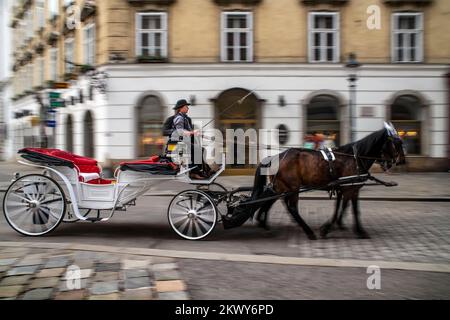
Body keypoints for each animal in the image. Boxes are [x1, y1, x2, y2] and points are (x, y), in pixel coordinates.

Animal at [251, 124, 406, 239]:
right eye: (397, 142)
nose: (402, 161)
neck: (354, 158)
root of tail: (274, 157)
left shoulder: (347, 188)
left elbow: (345, 207)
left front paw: (345, 226)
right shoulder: (350, 188)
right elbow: (350, 209)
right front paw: (331, 228)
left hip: (281, 187)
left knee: (270, 202)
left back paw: (263, 223)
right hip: (292, 187)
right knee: (292, 208)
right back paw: (308, 231)